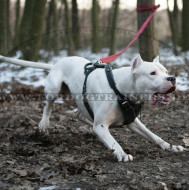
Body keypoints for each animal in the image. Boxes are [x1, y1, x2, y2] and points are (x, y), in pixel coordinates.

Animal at [0, 54, 186, 162]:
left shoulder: (132, 121)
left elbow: (154, 136)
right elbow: (113, 141)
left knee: (81, 116)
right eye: (152, 73)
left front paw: (170, 147)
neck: (121, 87)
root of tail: (57, 62)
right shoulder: (102, 124)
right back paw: (44, 124)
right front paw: (122, 154)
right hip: (53, 89)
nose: (172, 78)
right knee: (48, 106)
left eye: (166, 71)